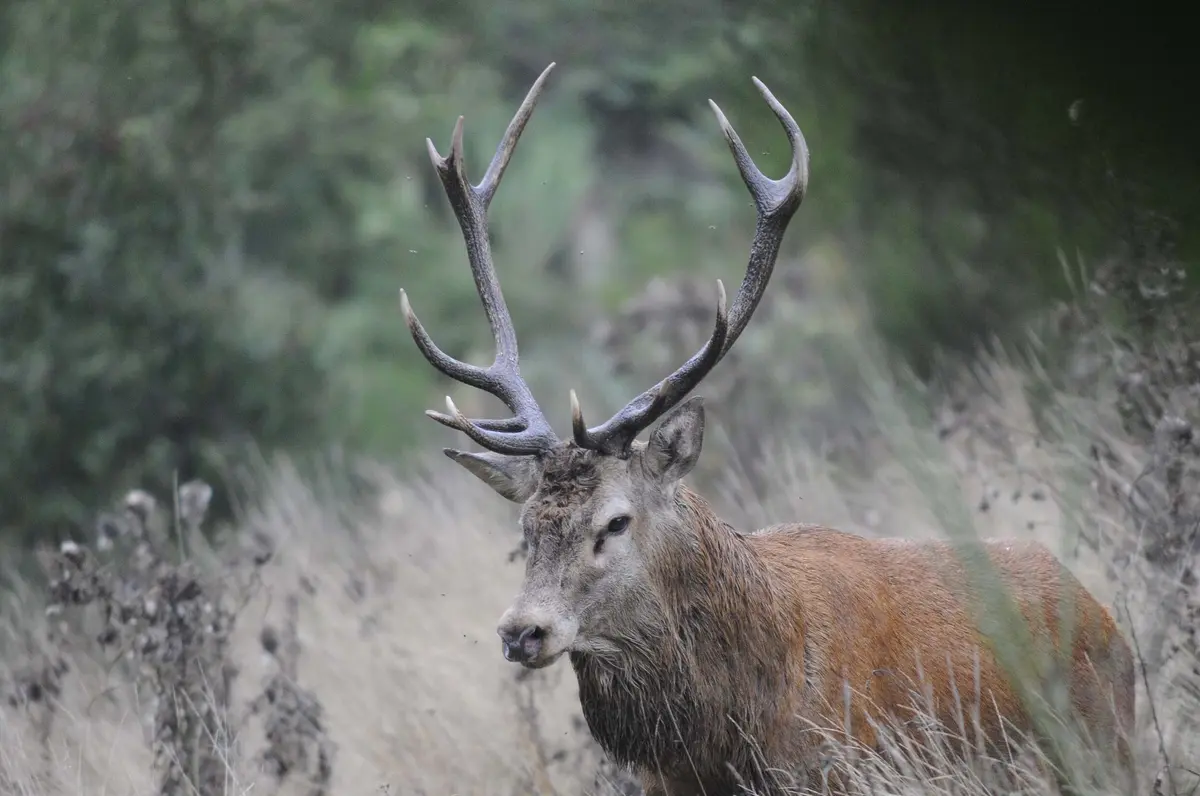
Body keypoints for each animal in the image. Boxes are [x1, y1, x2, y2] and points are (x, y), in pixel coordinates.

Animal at [399, 63, 1136, 796]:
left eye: (616, 521)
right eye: (526, 528)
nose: (521, 631)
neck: (736, 734)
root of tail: (1103, 617)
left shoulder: (858, 772)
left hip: (1105, 751)